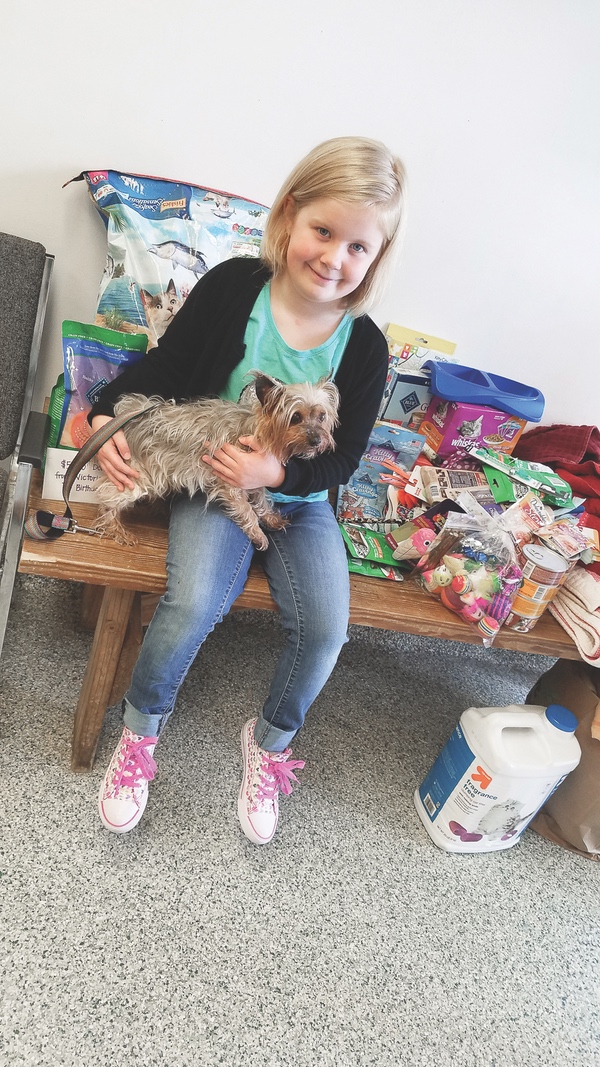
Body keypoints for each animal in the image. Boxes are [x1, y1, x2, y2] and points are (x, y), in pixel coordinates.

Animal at [92, 373, 337, 550]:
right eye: (295, 417)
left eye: (322, 416)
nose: (317, 440)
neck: (257, 431)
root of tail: (133, 415)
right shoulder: (230, 484)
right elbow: (247, 511)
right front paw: (258, 535)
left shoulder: (256, 479)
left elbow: (262, 502)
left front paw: (271, 518)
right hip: (137, 476)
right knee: (106, 498)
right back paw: (116, 529)